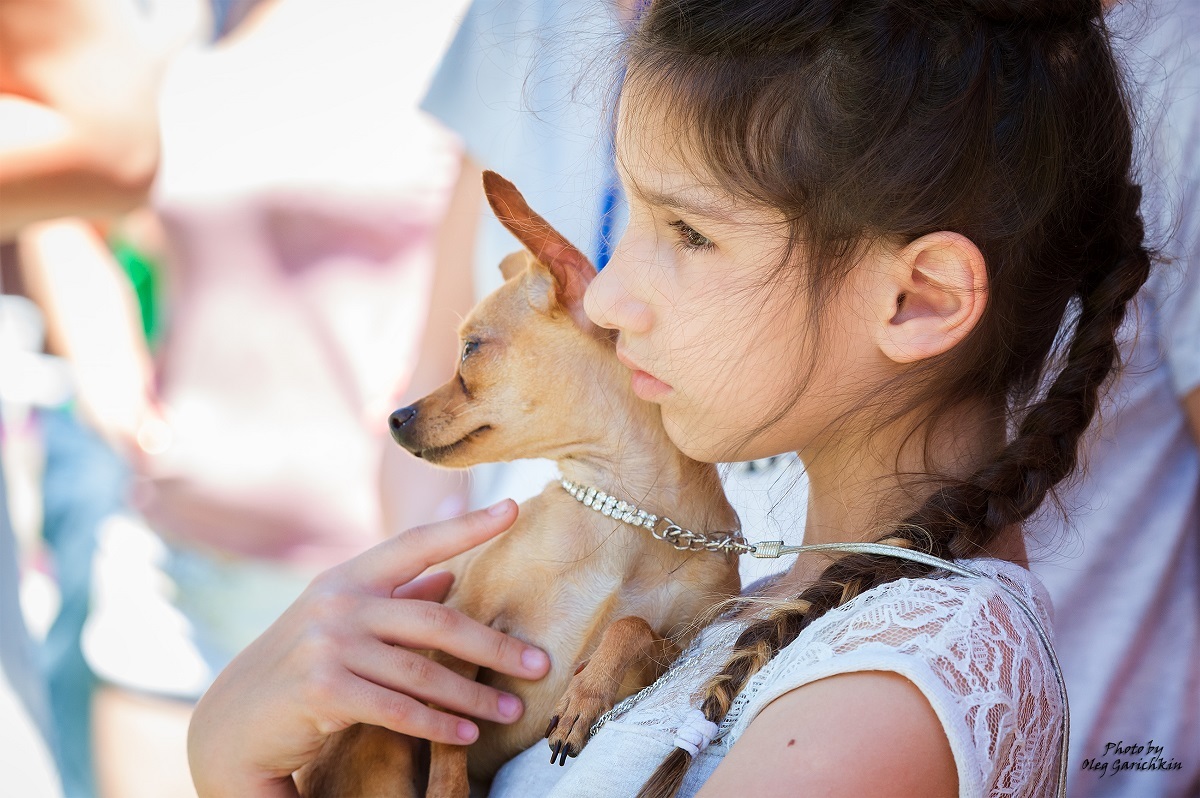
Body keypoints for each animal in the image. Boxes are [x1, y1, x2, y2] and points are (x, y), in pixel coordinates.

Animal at [297, 174, 739, 796]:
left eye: (470, 349)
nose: (395, 417)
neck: (624, 510)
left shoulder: (674, 652)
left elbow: (630, 624)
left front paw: (582, 697)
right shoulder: (460, 630)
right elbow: (451, 734)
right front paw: (450, 788)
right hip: (379, 744)